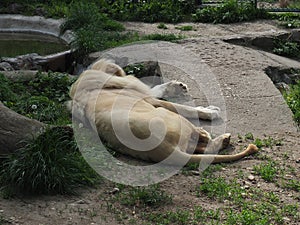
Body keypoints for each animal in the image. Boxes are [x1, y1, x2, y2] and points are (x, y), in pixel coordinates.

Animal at [70, 59, 258, 165]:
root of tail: (165, 150)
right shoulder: (150, 100)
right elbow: (183, 107)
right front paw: (210, 111)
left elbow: (158, 88)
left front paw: (178, 86)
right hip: (169, 116)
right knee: (206, 143)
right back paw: (215, 136)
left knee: (202, 148)